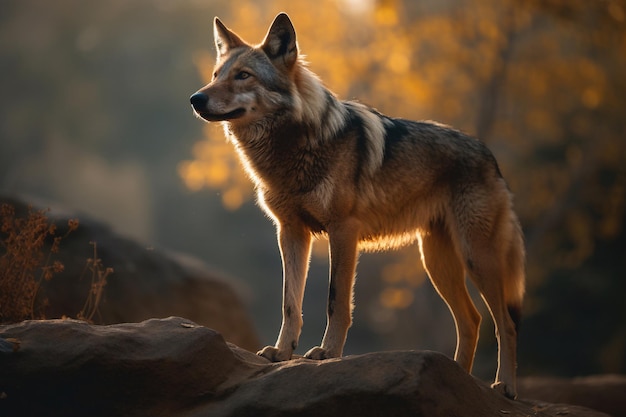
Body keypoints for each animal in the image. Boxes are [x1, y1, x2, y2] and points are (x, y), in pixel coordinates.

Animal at [189, 12, 520, 396]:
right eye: (217, 75)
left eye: (244, 75)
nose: (196, 98)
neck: (292, 148)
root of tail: (490, 157)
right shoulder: (291, 233)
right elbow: (290, 303)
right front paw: (282, 352)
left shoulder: (343, 231)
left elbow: (337, 302)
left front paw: (328, 353)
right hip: (436, 263)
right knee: (472, 321)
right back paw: (459, 382)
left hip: (475, 257)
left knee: (505, 323)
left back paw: (504, 386)